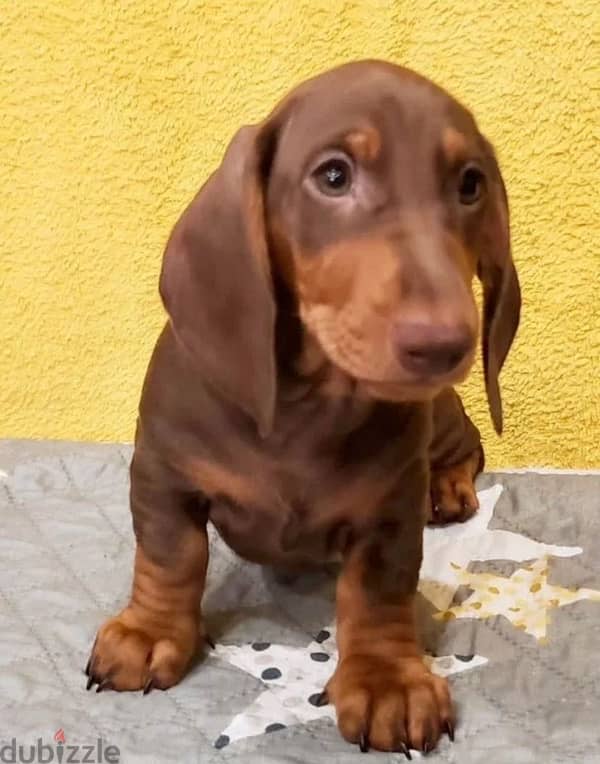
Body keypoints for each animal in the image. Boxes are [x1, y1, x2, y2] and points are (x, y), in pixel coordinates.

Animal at [85, 59, 520, 752]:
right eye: (334, 176)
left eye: (471, 184)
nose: (444, 344)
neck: (308, 406)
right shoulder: (161, 475)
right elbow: (171, 556)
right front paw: (149, 633)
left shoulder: (389, 514)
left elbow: (376, 591)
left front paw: (386, 681)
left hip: (445, 421)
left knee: (468, 448)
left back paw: (449, 488)